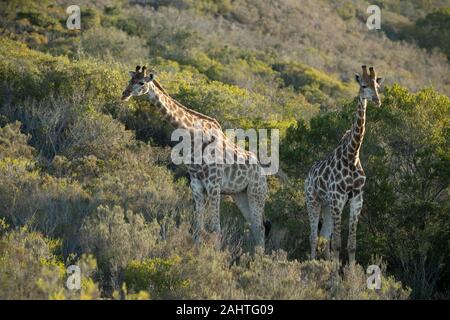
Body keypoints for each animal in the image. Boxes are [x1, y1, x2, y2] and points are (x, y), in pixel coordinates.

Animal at [120, 66, 270, 249]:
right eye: (131, 79)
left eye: (141, 82)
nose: (125, 94)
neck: (193, 135)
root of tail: (262, 171)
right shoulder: (196, 185)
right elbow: (199, 225)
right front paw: (197, 250)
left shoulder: (213, 186)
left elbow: (215, 227)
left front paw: (215, 255)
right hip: (240, 195)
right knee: (255, 227)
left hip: (256, 192)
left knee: (260, 227)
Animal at [302, 65, 384, 264]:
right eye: (363, 85)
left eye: (377, 86)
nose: (377, 101)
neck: (352, 155)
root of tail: (307, 176)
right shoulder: (338, 198)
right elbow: (337, 244)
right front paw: (334, 271)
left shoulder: (356, 199)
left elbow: (351, 245)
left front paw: (348, 270)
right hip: (313, 200)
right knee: (313, 236)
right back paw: (313, 262)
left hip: (327, 205)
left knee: (324, 236)